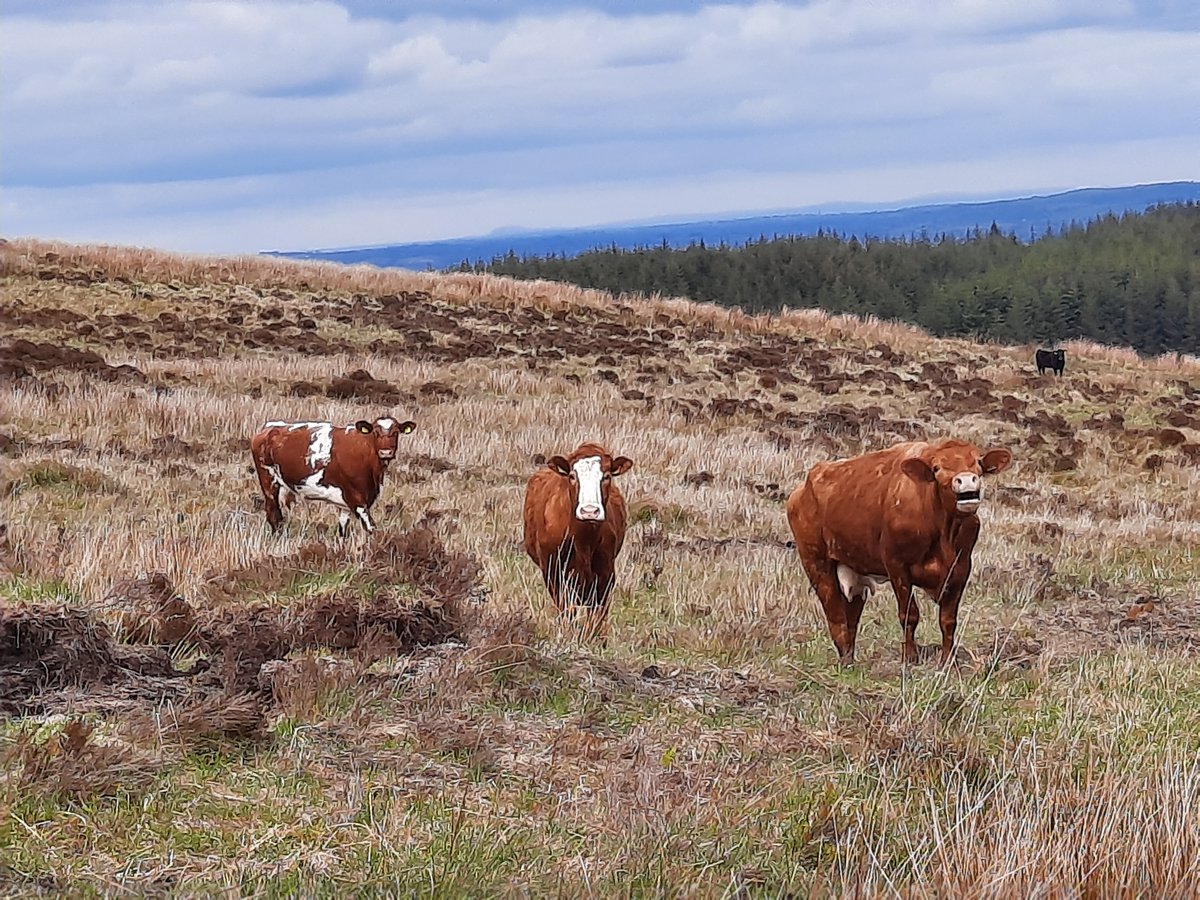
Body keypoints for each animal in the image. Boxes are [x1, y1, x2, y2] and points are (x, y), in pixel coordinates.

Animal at [250, 415, 415, 535]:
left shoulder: (346, 505)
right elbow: (371, 529)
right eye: (375, 432)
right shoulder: (357, 500)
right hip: (269, 481)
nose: (386, 452)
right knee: (274, 516)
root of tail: (270, 428)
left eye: (396, 432)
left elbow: (342, 531)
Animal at [520, 444, 633, 633]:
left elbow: (597, 619)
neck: (583, 540)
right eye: (572, 476)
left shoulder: (606, 575)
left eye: (607, 476)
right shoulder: (554, 574)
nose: (589, 511)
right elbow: (567, 612)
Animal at [787, 441, 1012, 667]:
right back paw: (846, 662)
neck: (944, 530)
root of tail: (801, 490)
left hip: (854, 569)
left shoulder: (961, 568)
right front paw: (910, 658)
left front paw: (947, 660)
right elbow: (909, 614)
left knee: (851, 617)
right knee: (835, 613)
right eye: (937, 468)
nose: (966, 479)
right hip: (816, 562)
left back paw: (850, 660)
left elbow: (948, 620)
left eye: (977, 463)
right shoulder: (897, 566)